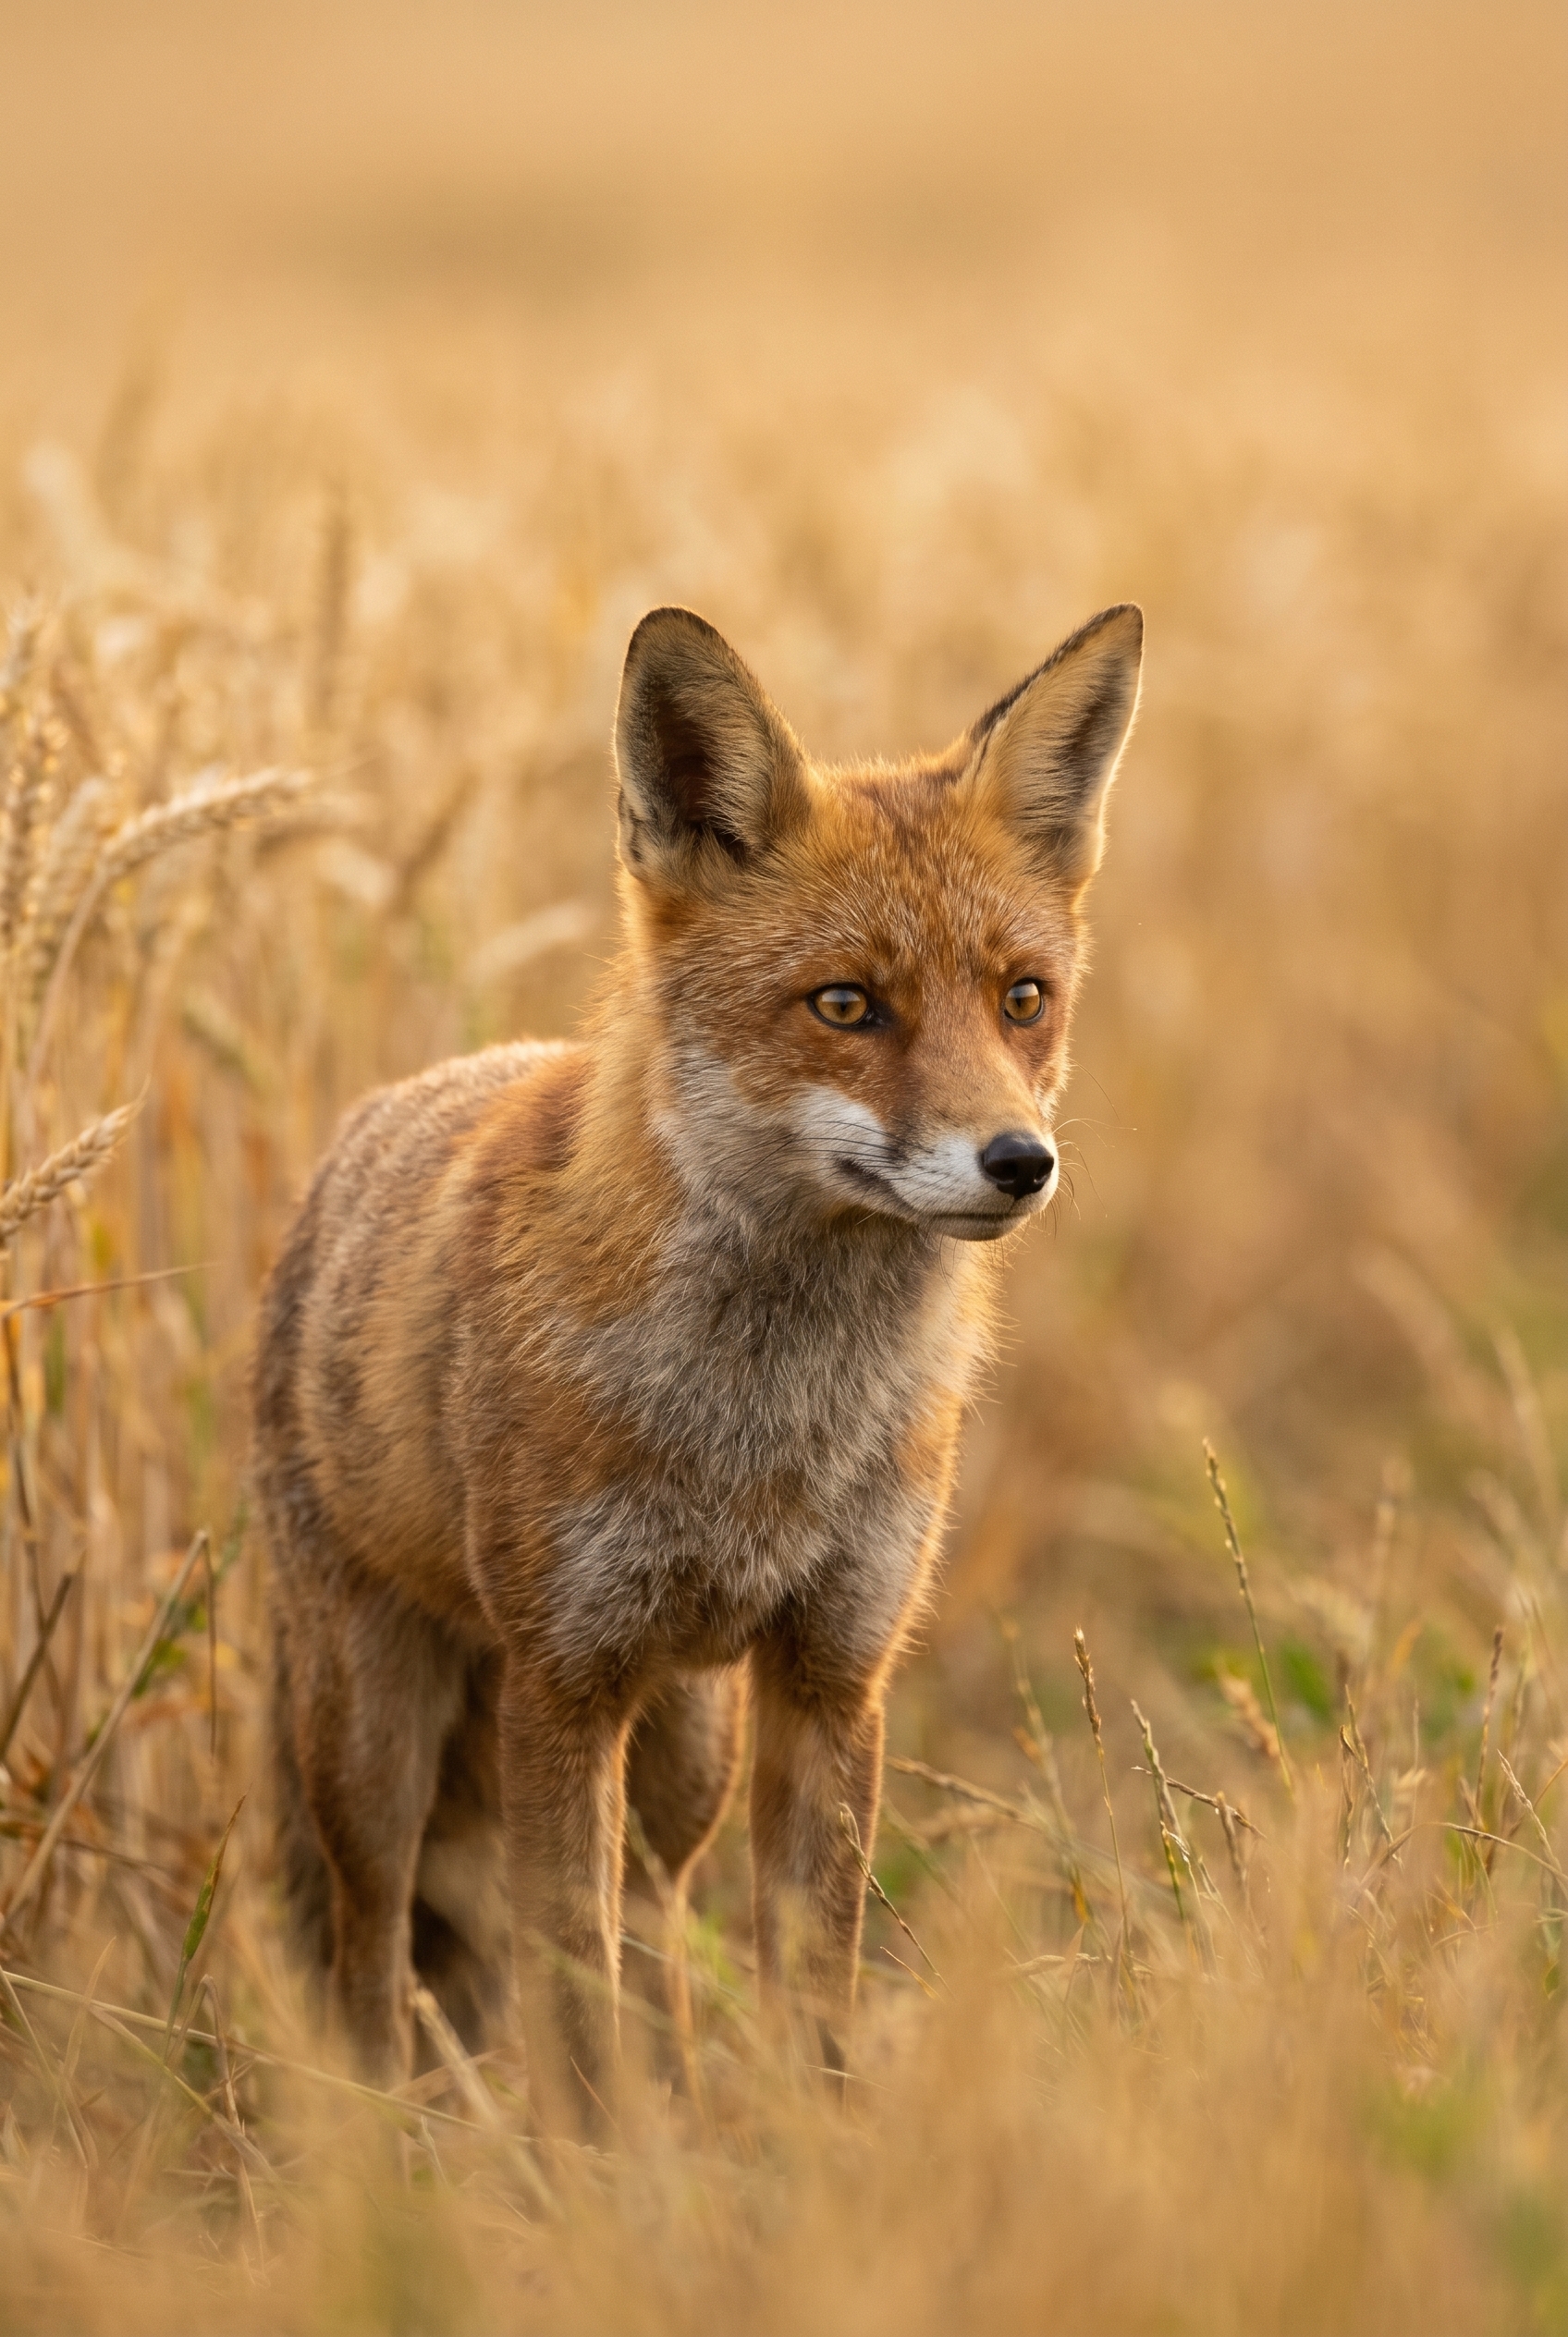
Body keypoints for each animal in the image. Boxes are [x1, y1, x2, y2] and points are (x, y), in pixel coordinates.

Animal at [253, 598, 1143, 2134]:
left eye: (1023, 998)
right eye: (846, 1005)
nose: (1019, 1162)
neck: (769, 1429)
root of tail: (355, 1138)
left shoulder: (832, 1672)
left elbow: (812, 1990)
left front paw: (813, 2154)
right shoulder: (563, 1682)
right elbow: (565, 1991)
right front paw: (592, 2174)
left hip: (687, 1751)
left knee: (659, 1923)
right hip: (376, 1736)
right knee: (378, 1946)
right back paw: (375, 2135)